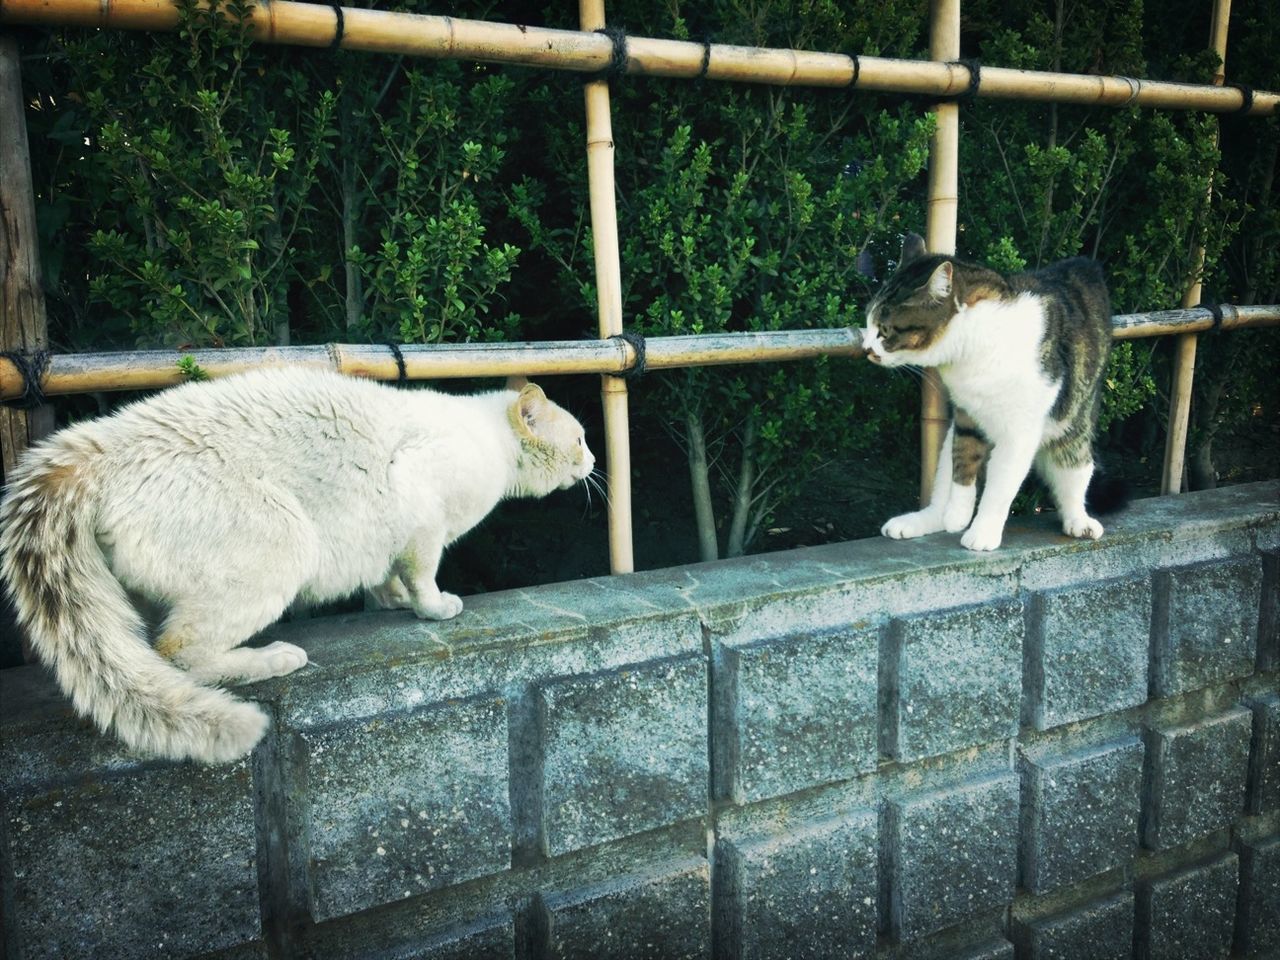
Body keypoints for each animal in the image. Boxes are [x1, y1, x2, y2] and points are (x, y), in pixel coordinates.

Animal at [1, 368, 593, 768]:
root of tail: (97, 451)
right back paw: (274, 658)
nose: (592, 461)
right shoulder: (420, 506)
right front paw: (433, 607)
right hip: (286, 541)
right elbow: (422, 572)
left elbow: (388, 575)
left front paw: (393, 600)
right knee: (176, 653)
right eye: (582, 438)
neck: (492, 440)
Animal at [860, 232, 1121, 552]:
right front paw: (957, 515)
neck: (975, 347)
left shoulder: (1019, 435)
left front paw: (982, 532)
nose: (865, 348)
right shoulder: (966, 415)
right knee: (944, 478)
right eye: (868, 322)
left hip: (1072, 429)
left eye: (884, 331)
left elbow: (1000, 488)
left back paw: (1079, 520)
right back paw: (925, 520)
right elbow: (962, 463)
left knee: (1074, 471)